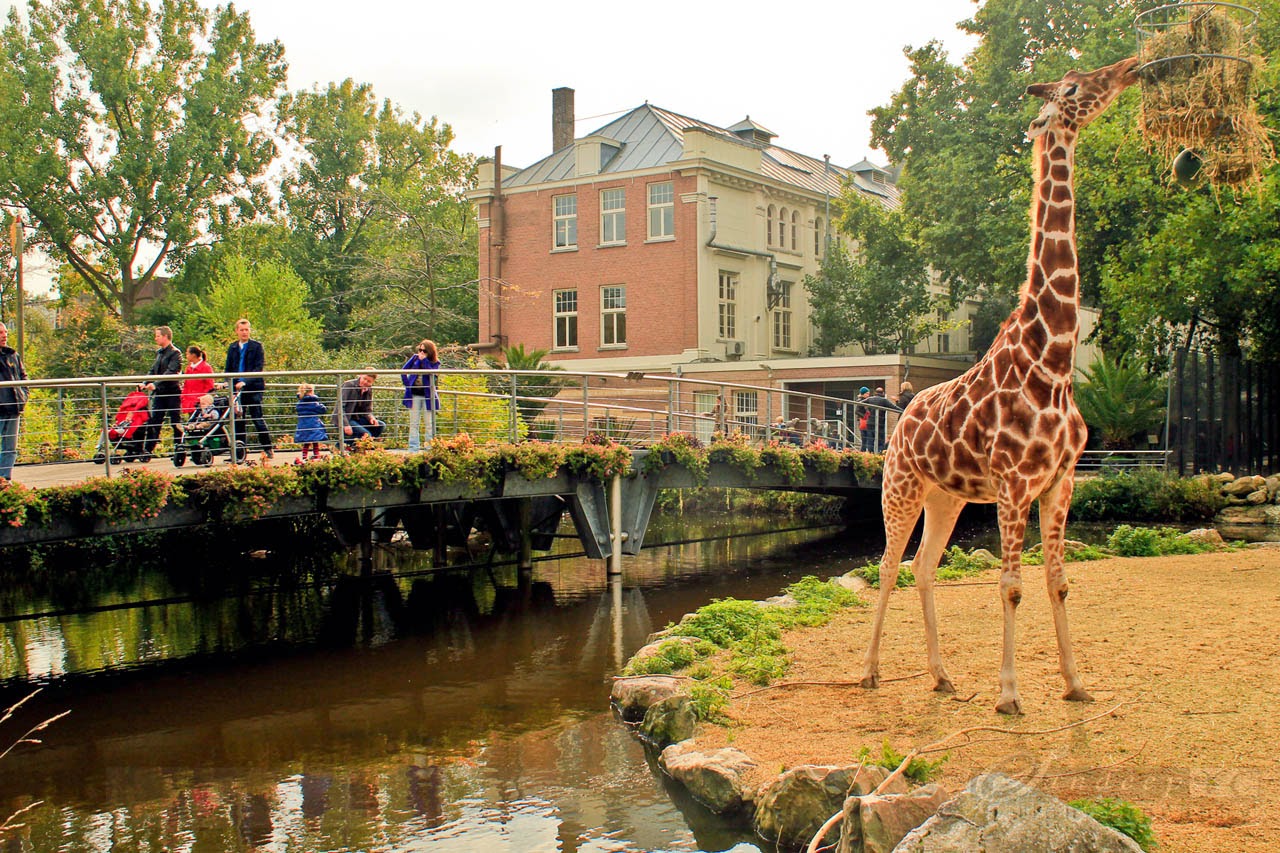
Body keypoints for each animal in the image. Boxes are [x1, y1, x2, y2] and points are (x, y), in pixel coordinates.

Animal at [860, 56, 1141, 712]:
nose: (1130, 67)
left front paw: (1075, 683)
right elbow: (1011, 585)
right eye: (1073, 87)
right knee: (886, 565)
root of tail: (901, 415)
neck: (1054, 358)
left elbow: (1057, 582)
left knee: (923, 567)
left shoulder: (1059, 482)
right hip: (900, 487)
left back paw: (941, 675)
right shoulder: (1014, 484)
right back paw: (870, 669)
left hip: (948, 497)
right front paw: (1009, 692)